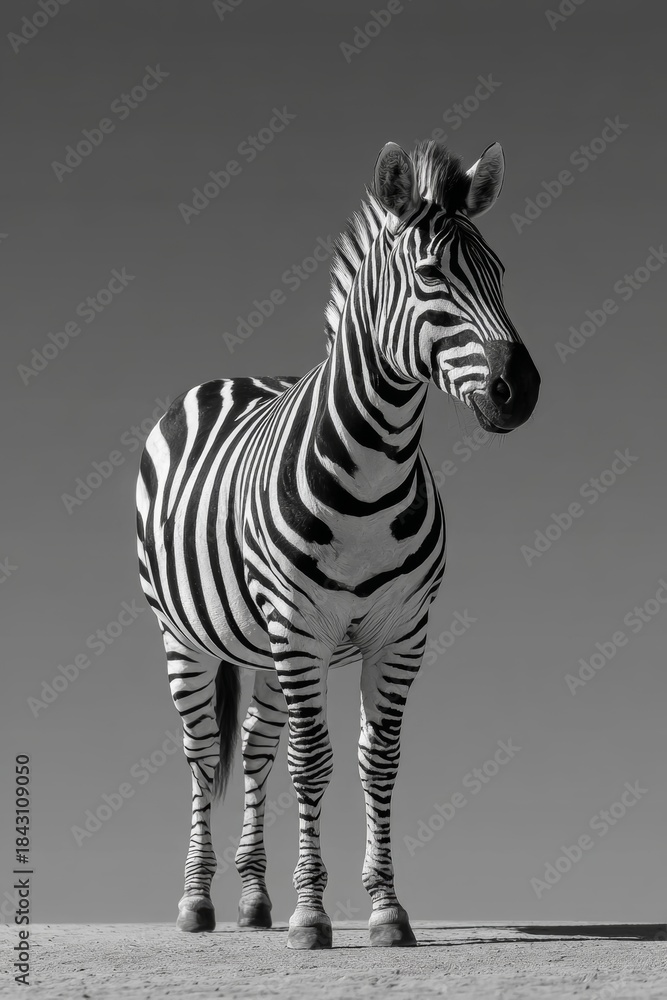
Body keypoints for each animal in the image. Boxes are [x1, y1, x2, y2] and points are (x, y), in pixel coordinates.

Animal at [136, 138, 540, 949]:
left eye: (500, 273)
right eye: (431, 275)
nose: (522, 389)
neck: (374, 470)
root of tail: (229, 378)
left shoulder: (402, 632)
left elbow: (375, 762)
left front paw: (384, 908)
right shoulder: (300, 628)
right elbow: (312, 761)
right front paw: (312, 915)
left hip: (259, 647)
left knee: (255, 748)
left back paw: (252, 900)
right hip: (184, 635)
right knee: (203, 754)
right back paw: (197, 903)